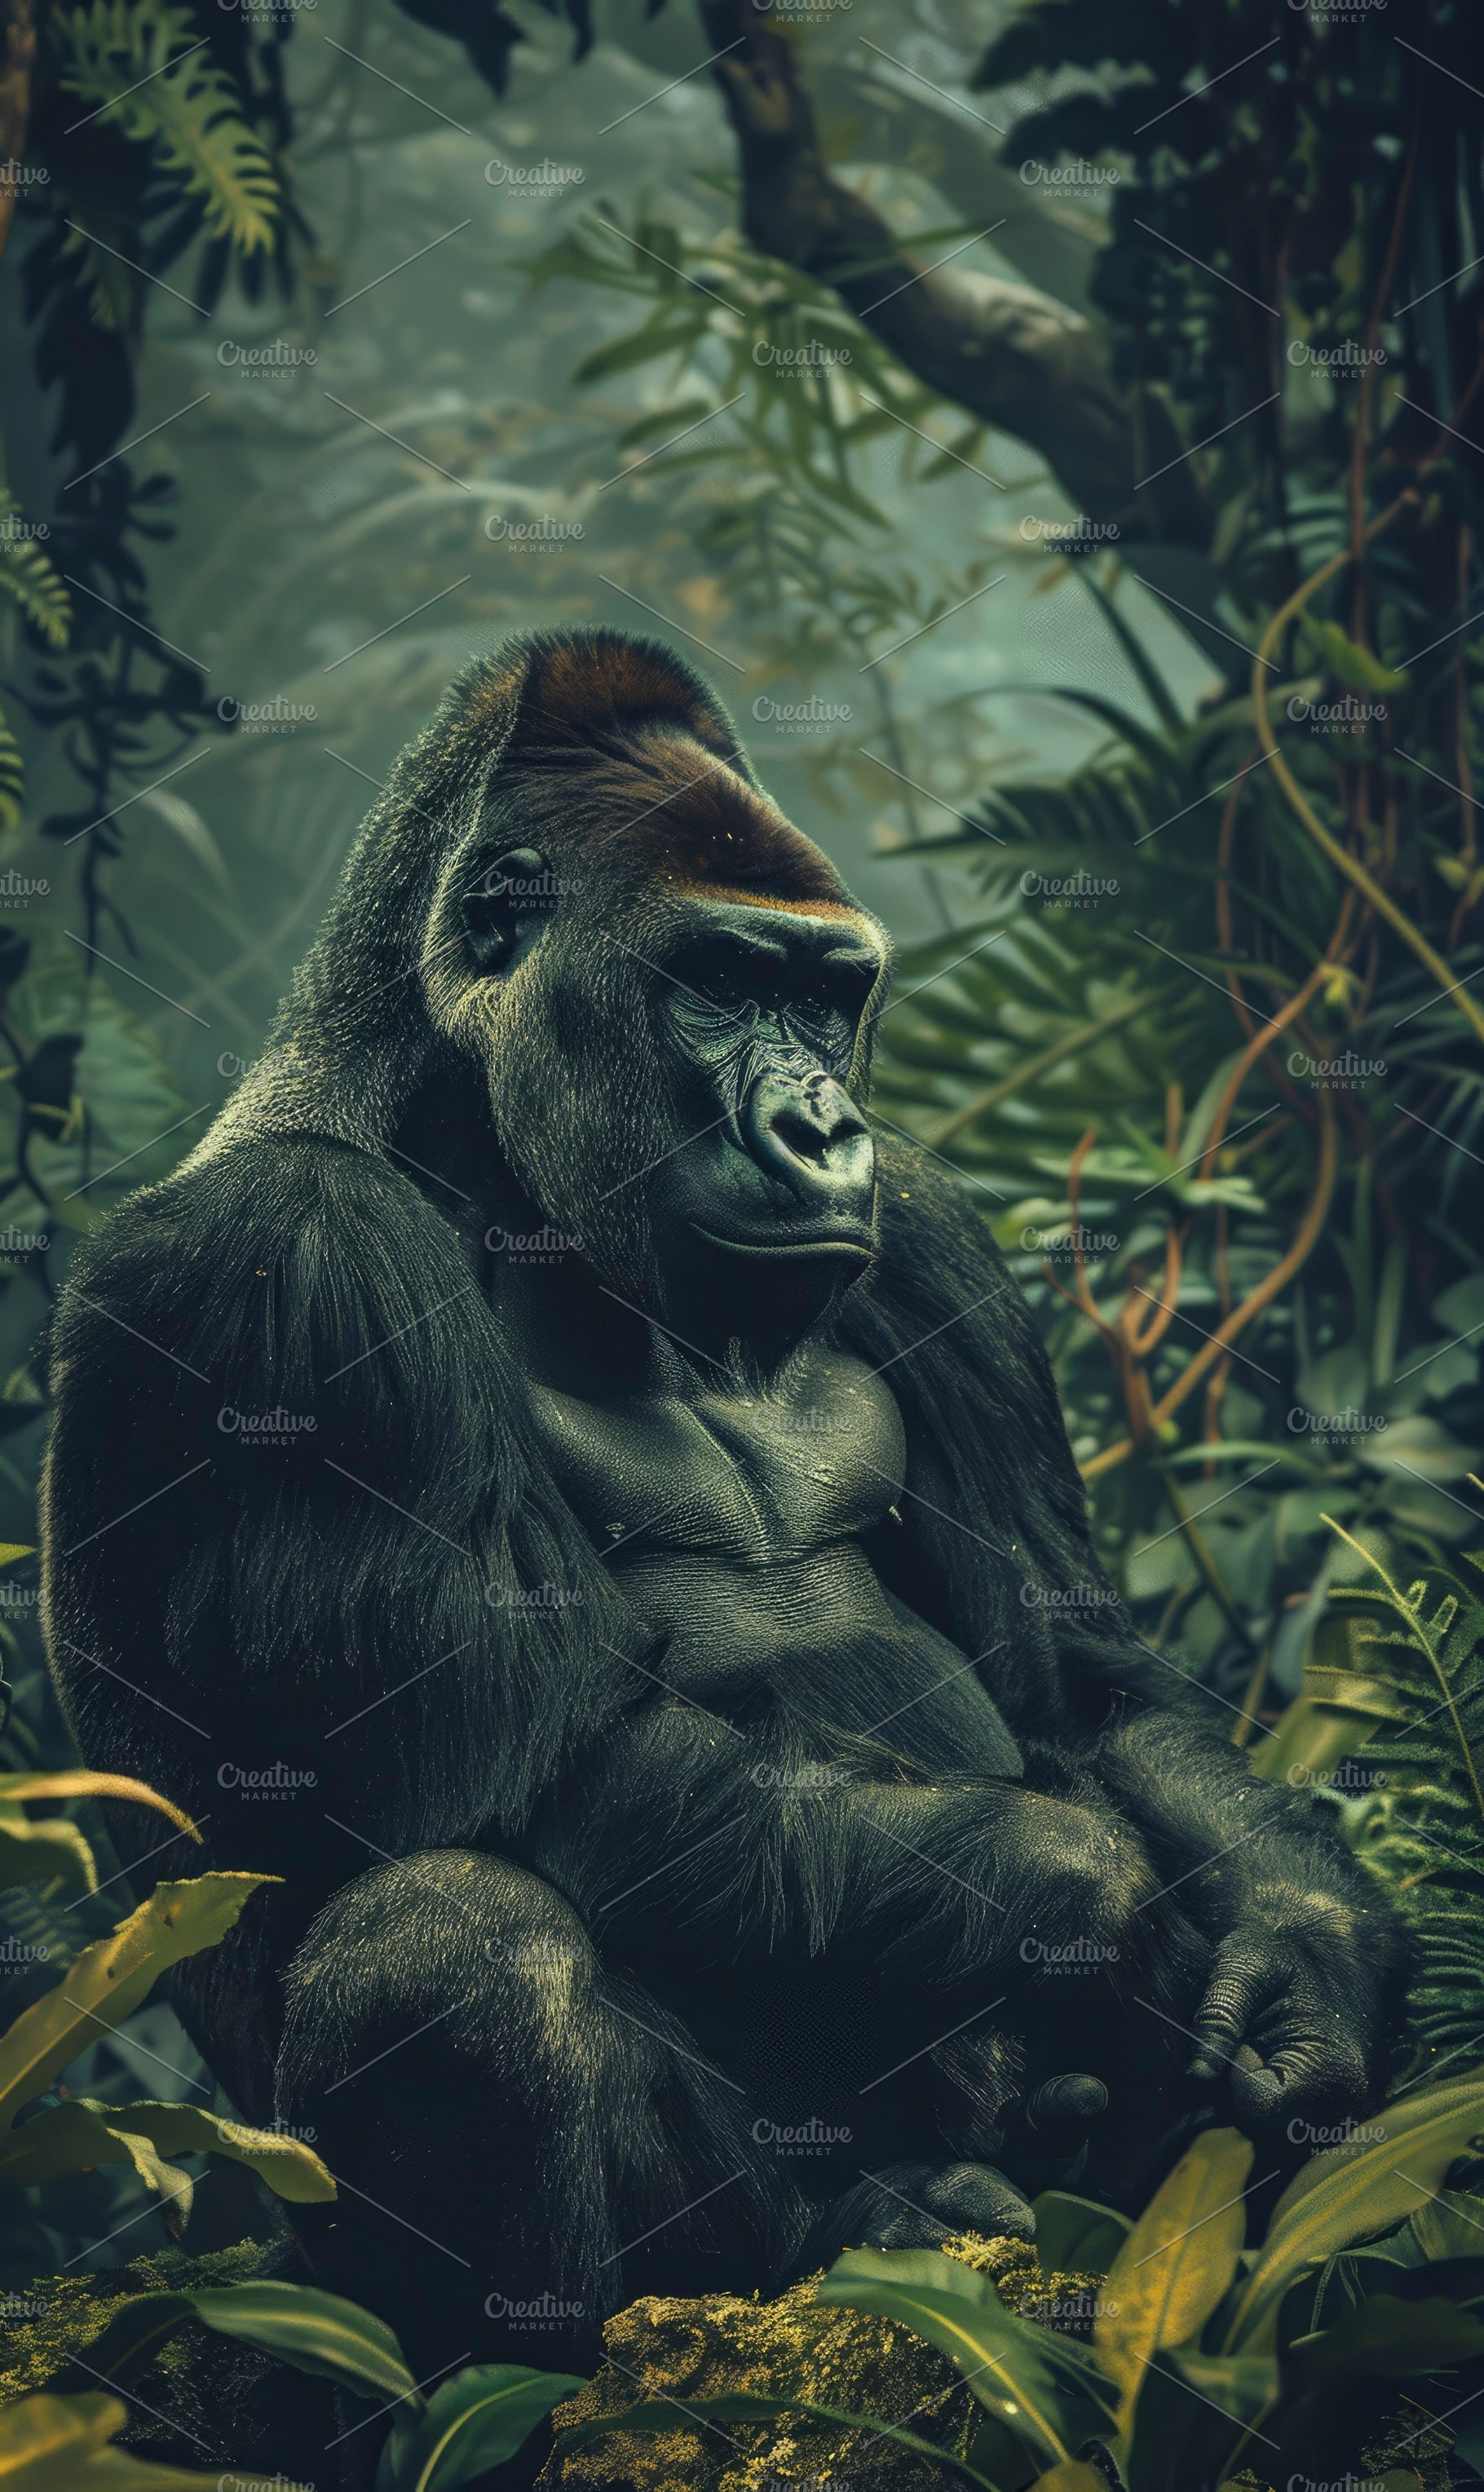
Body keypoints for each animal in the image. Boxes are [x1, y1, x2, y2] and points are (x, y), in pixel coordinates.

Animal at [41, 628, 1405, 2397]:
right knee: (458, 1948)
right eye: (717, 980)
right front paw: (1086, 1894)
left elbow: (1083, 1688)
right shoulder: (287, 1260)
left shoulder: (933, 1236)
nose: (825, 1128)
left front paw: (1305, 1970)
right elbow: (526, 1764)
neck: (460, 1133)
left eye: (829, 997)